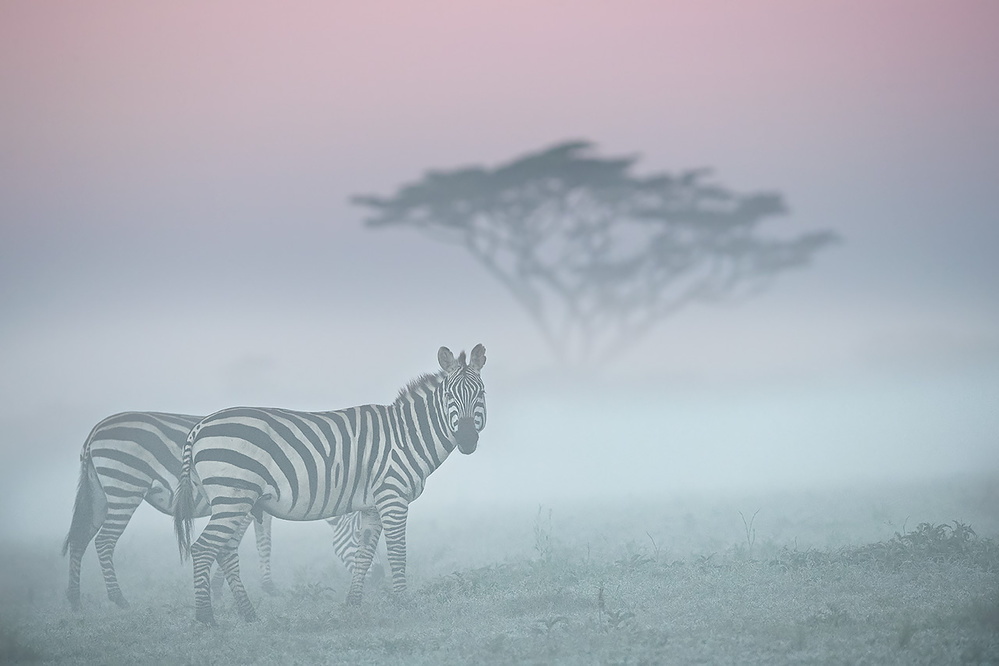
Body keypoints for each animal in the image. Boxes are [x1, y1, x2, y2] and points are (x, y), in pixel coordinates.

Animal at [59, 410, 364, 608]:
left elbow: (261, 540)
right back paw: (119, 599)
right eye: (356, 538)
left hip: (99, 492)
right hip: (125, 485)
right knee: (104, 541)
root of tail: (95, 430)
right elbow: (243, 542)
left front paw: (258, 586)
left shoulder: (256, 505)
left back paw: (74, 599)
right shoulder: (244, 503)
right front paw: (225, 589)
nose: (374, 580)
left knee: (80, 538)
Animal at [176, 342, 488, 624]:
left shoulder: (372, 506)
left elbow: (364, 554)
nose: (467, 440)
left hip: (234, 500)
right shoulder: (393, 496)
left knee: (225, 551)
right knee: (203, 549)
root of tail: (200, 426)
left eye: (481, 393)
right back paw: (206, 618)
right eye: (448, 395)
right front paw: (404, 606)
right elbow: (398, 553)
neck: (405, 436)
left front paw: (353, 604)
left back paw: (249, 614)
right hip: (233, 495)